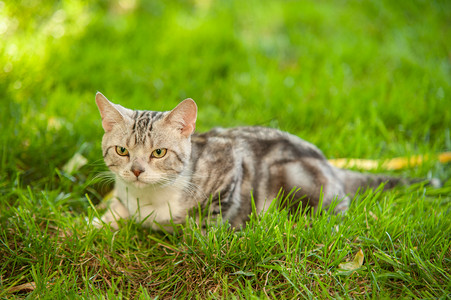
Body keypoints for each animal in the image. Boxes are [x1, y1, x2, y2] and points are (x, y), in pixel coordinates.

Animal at [92, 92, 430, 231]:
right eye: (122, 151)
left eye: (159, 153)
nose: (136, 170)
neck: (148, 199)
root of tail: (331, 166)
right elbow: (113, 209)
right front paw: (93, 223)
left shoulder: (231, 162)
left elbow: (212, 215)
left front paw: (197, 234)